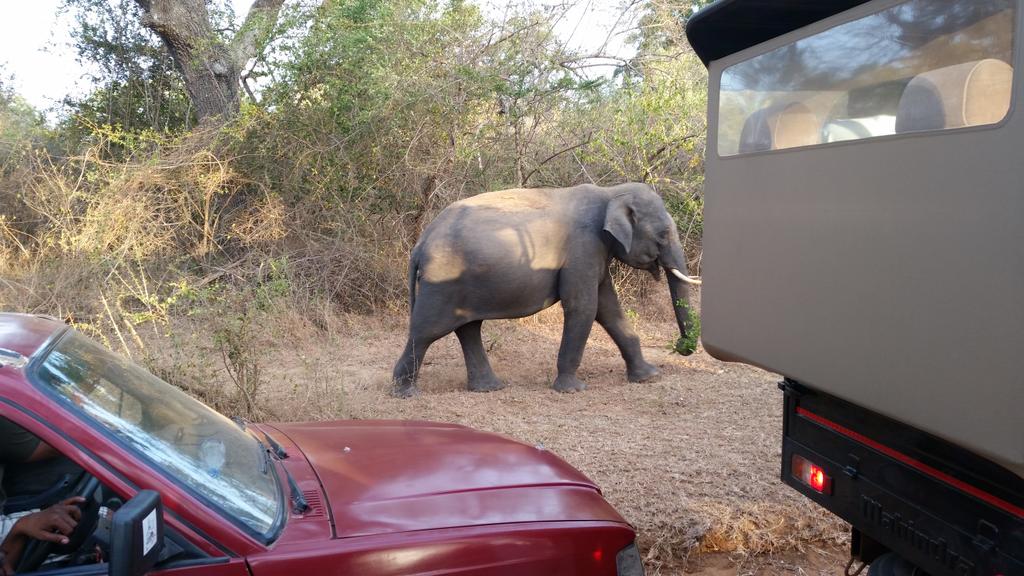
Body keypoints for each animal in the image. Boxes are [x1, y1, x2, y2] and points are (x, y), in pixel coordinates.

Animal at [392, 182, 701, 397]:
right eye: (663, 235)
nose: (682, 346)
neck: (610, 192)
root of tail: (421, 243)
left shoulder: (596, 253)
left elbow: (608, 308)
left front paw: (650, 377)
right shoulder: (583, 248)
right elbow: (583, 306)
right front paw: (573, 390)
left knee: (468, 329)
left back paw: (489, 387)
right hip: (442, 281)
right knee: (426, 331)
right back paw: (405, 393)